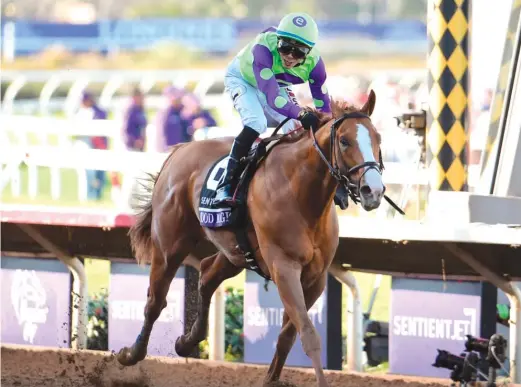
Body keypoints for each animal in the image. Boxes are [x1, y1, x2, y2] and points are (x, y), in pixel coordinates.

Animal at [117, 89, 386, 386]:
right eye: (344, 140)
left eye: (378, 138)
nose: (373, 190)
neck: (302, 194)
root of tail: (180, 150)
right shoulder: (285, 268)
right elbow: (308, 335)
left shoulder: (315, 278)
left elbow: (288, 335)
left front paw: (271, 379)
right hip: (169, 245)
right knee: (155, 300)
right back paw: (131, 353)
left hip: (236, 252)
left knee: (207, 274)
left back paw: (186, 342)